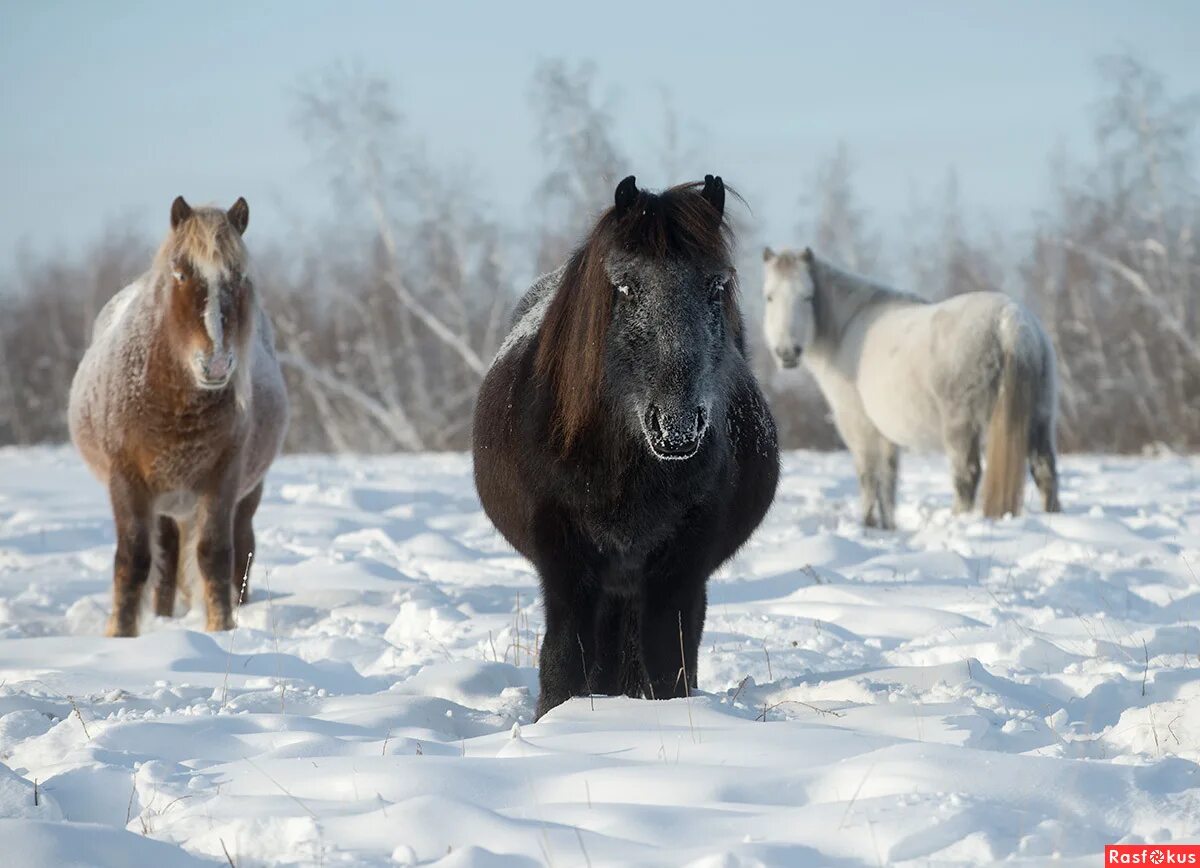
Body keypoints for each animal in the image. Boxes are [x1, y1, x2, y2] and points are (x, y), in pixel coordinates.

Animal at [69, 196, 288, 633]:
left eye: (239, 276)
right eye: (182, 273)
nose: (216, 364)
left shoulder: (223, 479)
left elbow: (215, 554)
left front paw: (221, 628)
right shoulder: (127, 481)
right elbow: (134, 560)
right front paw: (121, 633)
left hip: (245, 493)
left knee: (240, 550)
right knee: (167, 559)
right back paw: (161, 616)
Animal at [472, 176, 782, 720]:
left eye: (715, 285)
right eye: (625, 286)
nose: (677, 426)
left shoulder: (679, 569)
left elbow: (666, 663)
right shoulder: (565, 564)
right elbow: (563, 659)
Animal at [758, 246, 1060, 530]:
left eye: (808, 297)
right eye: (769, 297)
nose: (787, 352)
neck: (846, 330)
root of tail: (1010, 323)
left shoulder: (858, 425)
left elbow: (868, 475)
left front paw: (868, 525)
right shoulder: (885, 434)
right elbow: (888, 478)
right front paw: (888, 526)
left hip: (961, 427)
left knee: (967, 475)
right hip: (1039, 420)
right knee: (1045, 471)